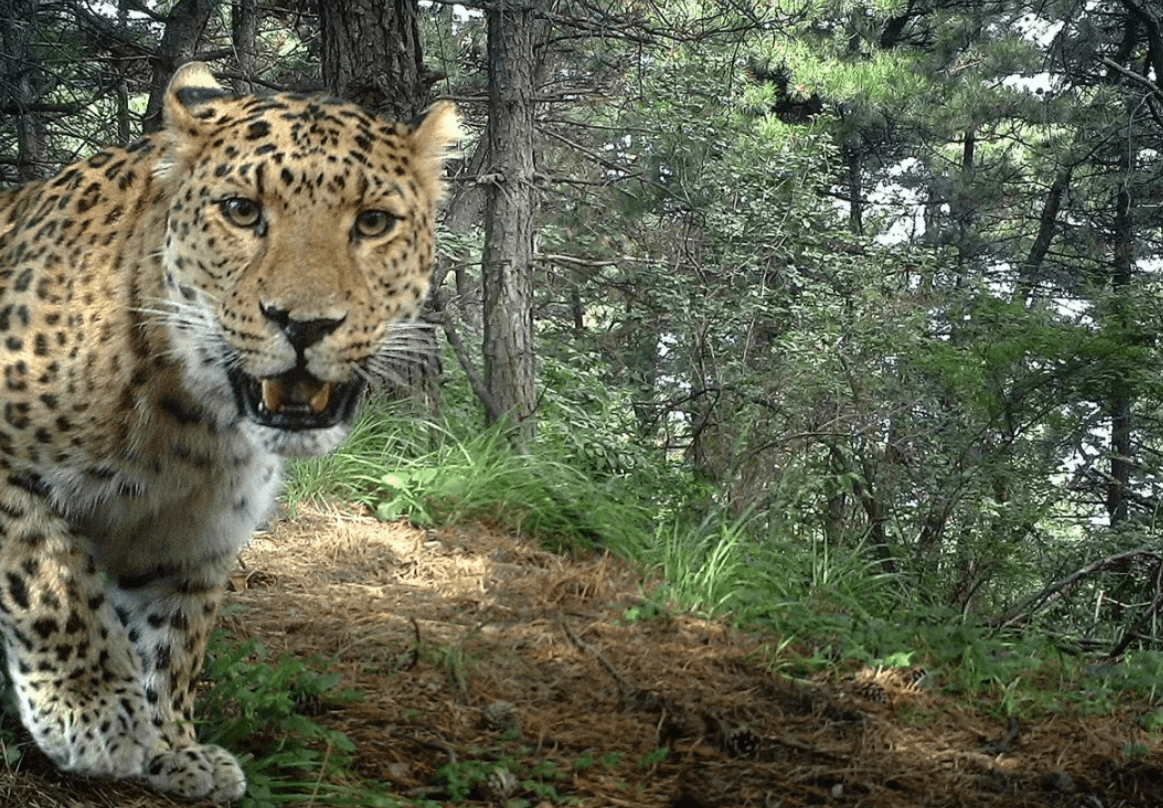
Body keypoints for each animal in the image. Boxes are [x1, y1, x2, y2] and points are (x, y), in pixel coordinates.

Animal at [0, 63, 458, 804]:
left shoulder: (189, 539)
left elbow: (172, 641)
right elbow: (50, 578)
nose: (305, 324)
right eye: (242, 211)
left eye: (373, 222)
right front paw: (91, 710)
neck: (189, 423)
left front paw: (170, 746)